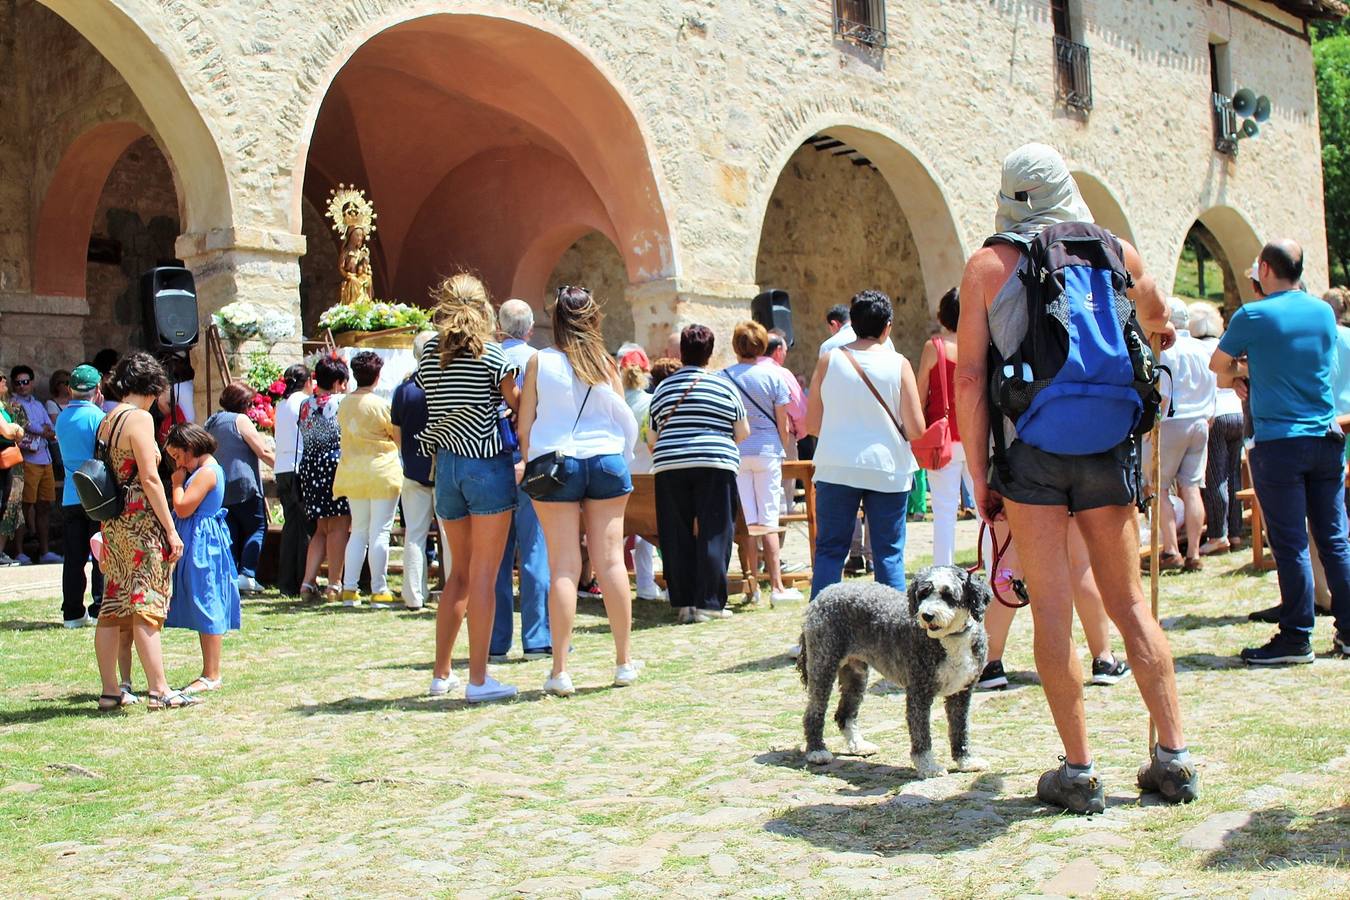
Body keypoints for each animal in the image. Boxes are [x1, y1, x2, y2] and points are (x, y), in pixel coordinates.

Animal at [788, 566, 993, 777]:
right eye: (923, 593)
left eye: (948, 595)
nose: (926, 615)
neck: (950, 638)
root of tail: (824, 592)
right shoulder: (919, 692)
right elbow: (921, 733)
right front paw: (928, 766)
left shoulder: (961, 692)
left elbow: (960, 729)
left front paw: (966, 761)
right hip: (823, 665)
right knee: (814, 712)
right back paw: (817, 751)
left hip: (856, 675)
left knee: (844, 714)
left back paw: (858, 745)